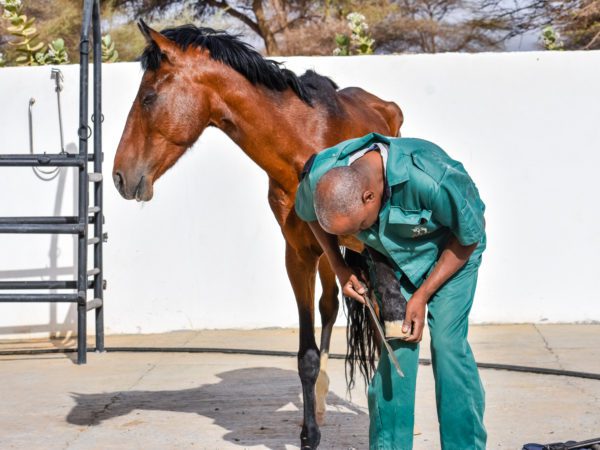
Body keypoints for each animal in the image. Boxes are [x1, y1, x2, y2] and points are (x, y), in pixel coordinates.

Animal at [113, 22, 404, 450]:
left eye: (148, 97)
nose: (119, 175)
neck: (305, 147)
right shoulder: (299, 254)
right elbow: (307, 355)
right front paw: (309, 434)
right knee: (330, 306)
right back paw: (320, 402)